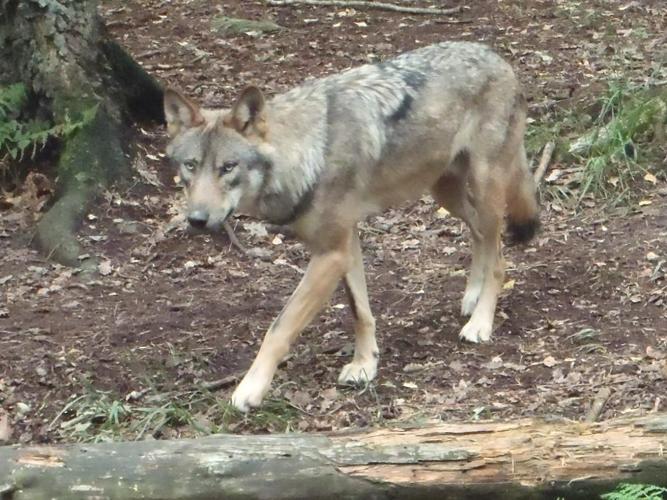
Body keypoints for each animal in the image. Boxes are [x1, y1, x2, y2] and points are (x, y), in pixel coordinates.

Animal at [163, 42, 544, 410]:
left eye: (228, 167)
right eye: (190, 166)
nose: (197, 220)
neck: (307, 153)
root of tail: (497, 56)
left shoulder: (331, 253)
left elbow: (279, 326)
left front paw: (250, 390)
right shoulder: (346, 244)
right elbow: (359, 310)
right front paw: (365, 365)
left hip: (484, 186)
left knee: (499, 257)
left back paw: (480, 322)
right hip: (445, 194)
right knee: (480, 235)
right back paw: (472, 296)